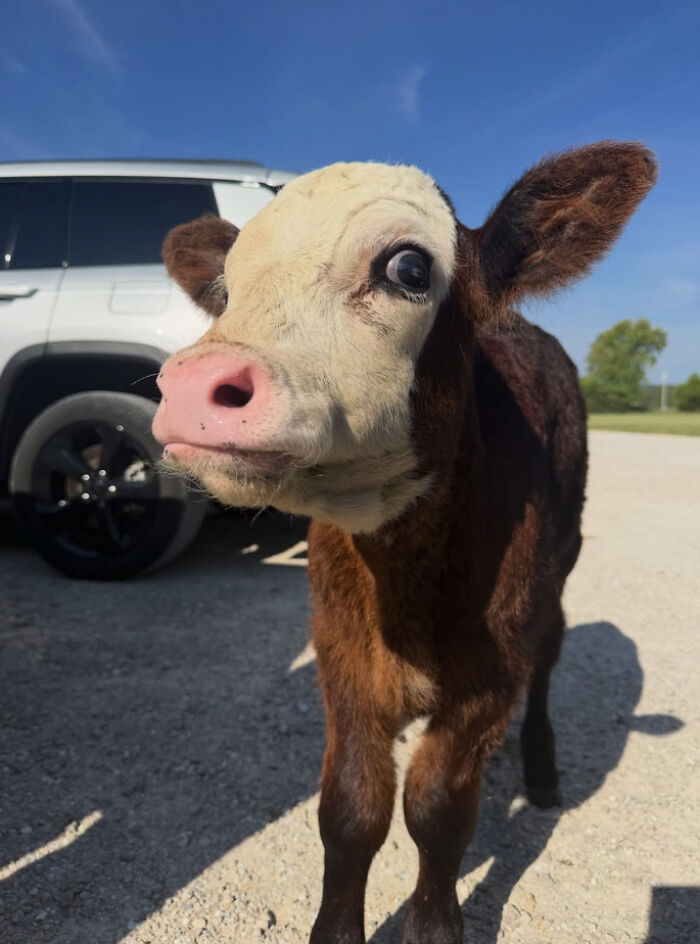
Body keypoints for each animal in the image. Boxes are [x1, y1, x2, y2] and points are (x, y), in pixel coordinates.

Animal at [152, 142, 656, 944]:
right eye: (226, 289)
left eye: (410, 269)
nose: (195, 383)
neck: (404, 576)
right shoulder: (341, 655)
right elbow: (352, 810)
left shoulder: (491, 666)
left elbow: (439, 808)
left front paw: (434, 924)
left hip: (560, 571)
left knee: (550, 656)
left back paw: (542, 770)